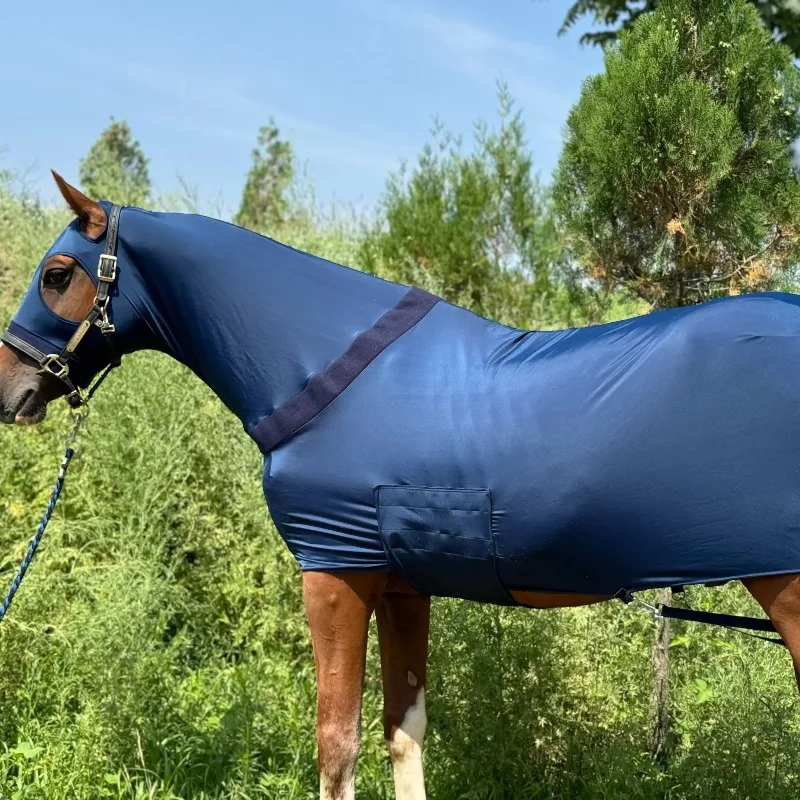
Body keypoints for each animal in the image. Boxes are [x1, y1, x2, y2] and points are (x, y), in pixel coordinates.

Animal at [3, 172, 800, 800]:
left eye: (58, 273)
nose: (12, 389)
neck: (321, 367)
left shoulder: (335, 575)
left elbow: (337, 747)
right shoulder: (402, 586)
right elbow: (403, 730)